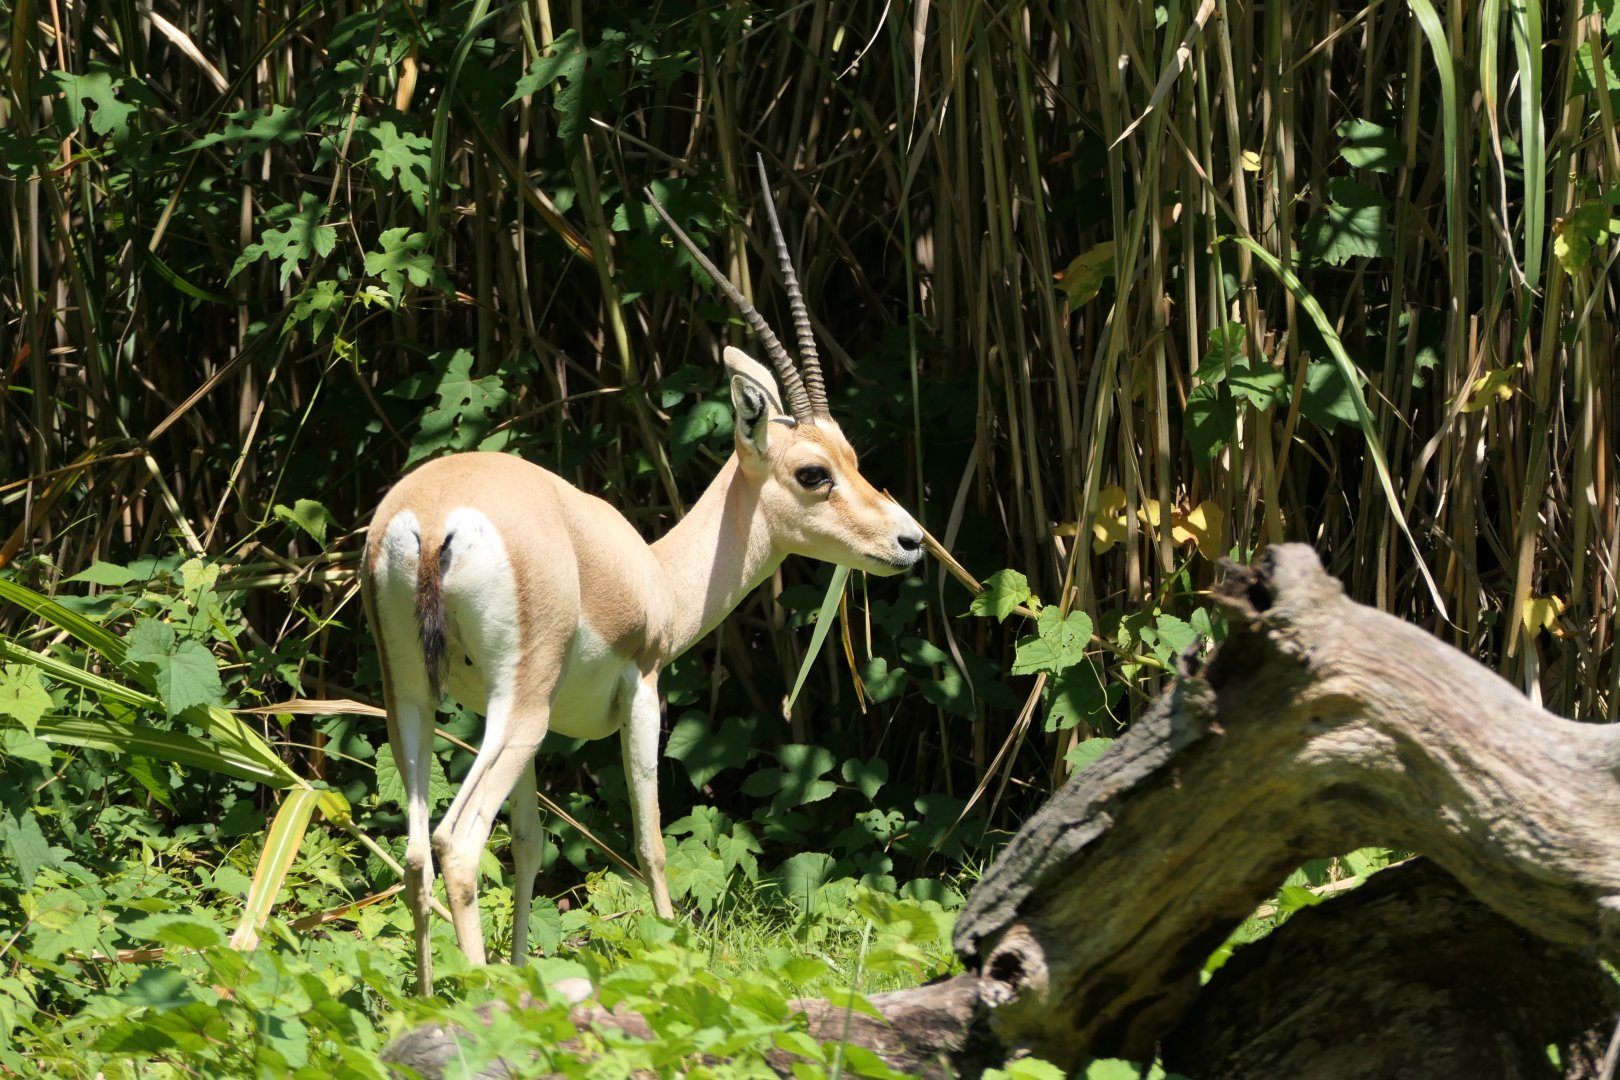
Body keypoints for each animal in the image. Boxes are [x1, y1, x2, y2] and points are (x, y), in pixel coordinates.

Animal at [360, 166, 926, 993]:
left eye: (851, 455)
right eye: (812, 472)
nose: (908, 540)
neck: (653, 572)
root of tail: (432, 518)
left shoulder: (509, 721)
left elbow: (530, 844)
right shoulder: (643, 689)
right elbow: (651, 838)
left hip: (419, 698)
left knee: (414, 853)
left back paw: (431, 1004)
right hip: (518, 709)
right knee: (457, 843)